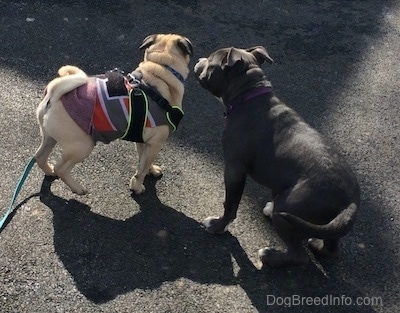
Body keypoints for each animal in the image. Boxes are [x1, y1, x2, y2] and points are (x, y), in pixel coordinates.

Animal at [33, 34, 193, 195]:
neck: (159, 68)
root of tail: (54, 96)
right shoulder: (155, 143)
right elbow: (141, 169)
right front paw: (137, 187)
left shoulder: (143, 140)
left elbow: (143, 161)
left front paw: (151, 170)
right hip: (83, 146)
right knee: (61, 168)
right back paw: (78, 188)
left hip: (50, 137)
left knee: (40, 156)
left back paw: (49, 171)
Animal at [193, 45, 360, 266]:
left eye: (210, 62)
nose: (199, 59)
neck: (249, 94)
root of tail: (350, 202)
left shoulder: (234, 169)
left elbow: (230, 203)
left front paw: (218, 226)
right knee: (331, 247)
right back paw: (315, 243)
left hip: (289, 206)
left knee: (298, 254)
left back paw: (270, 255)